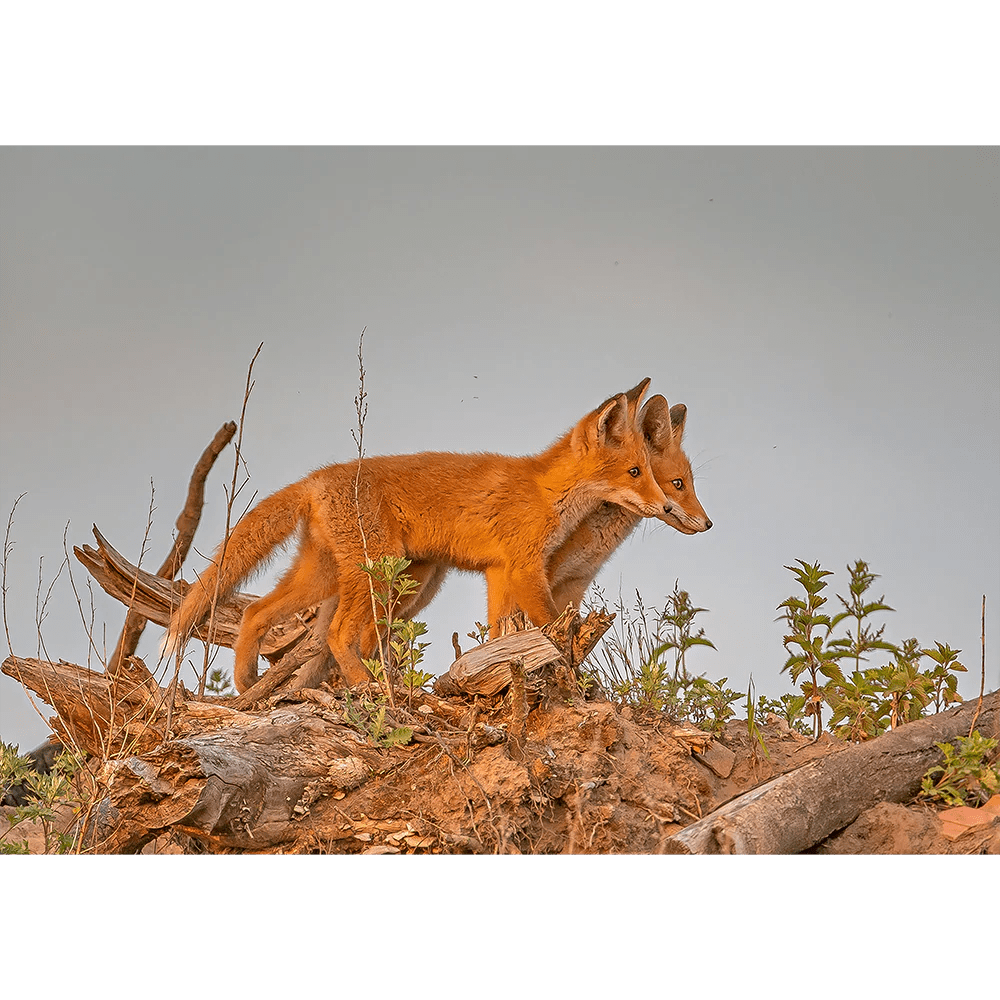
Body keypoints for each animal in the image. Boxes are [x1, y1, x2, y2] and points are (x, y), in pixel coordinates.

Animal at [166, 379, 676, 692]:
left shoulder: (499, 572)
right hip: (376, 569)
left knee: (256, 612)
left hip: (340, 575)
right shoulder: (524, 568)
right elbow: (553, 629)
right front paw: (576, 674)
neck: (546, 492)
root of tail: (316, 477)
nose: (668, 508)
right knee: (335, 633)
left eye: (652, 473)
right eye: (635, 472)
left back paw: (247, 683)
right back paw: (368, 687)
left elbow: (500, 634)